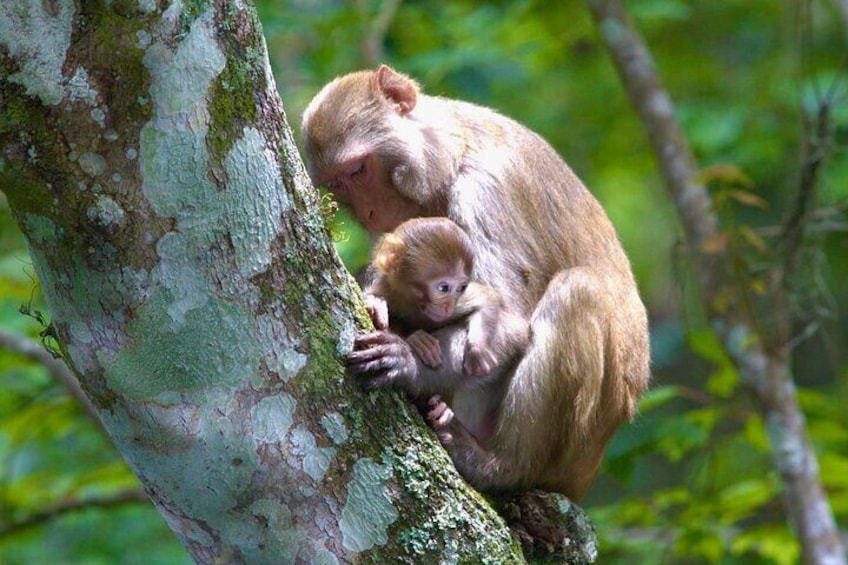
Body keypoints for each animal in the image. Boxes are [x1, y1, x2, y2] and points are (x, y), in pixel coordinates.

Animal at [302, 64, 652, 500]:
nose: (368, 212)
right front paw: (377, 300)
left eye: (358, 170)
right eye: (337, 184)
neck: (452, 154)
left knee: (577, 292)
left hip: (575, 450)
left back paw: (499, 466)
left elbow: (509, 320)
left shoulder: (486, 192)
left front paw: (407, 363)